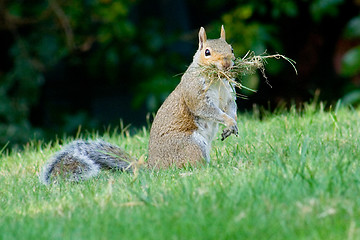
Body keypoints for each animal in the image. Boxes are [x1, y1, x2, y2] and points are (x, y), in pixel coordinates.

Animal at [39, 25, 238, 185]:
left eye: (231, 48)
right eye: (207, 52)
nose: (227, 63)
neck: (217, 80)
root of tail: (154, 167)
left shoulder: (228, 95)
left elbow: (231, 108)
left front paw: (233, 123)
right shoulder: (194, 93)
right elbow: (207, 110)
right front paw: (228, 121)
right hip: (190, 144)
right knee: (191, 163)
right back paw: (208, 169)